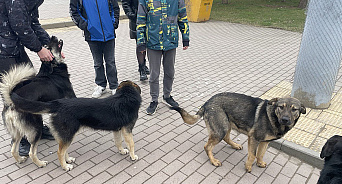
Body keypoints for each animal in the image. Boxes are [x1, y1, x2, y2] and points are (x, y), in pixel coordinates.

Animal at [0, 35, 75, 167]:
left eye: (47, 45)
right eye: (48, 48)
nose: (52, 36)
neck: (54, 70)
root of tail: (10, 103)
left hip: (17, 131)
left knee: (13, 149)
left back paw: (20, 160)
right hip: (36, 126)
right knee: (31, 152)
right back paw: (40, 163)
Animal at [10, 80, 141, 171]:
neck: (126, 95)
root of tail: (58, 103)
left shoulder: (118, 130)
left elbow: (118, 142)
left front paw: (122, 151)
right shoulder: (127, 130)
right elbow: (132, 144)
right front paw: (133, 156)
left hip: (65, 135)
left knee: (62, 150)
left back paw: (68, 160)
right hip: (68, 134)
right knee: (59, 152)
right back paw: (65, 167)